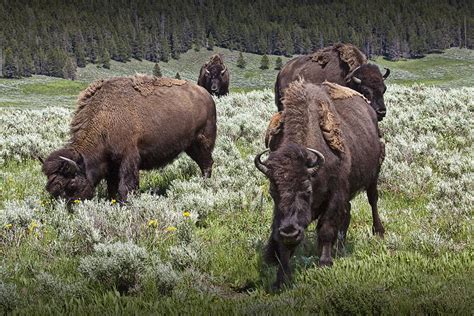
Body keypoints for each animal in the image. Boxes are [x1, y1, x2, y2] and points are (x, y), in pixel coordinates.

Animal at [42, 75, 217, 201]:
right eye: (49, 188)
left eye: (71, 185)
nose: (68, 210)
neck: (103, 118)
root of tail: (207, 95)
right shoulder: (111, 166)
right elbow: (112, 188)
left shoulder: (128, 159)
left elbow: (125, 186)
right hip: (191, 146)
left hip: (202, 142)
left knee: (207, 164)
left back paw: (205, 184)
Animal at [256, 79, 386, 288]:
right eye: (273, 192)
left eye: (307, 191)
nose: (290, 233)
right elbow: (279, 237)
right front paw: (281, 276)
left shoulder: (335, 194)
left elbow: (326, 228)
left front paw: (325, 262)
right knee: (348, 212)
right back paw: (340, 246)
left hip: (373, 176)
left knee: (373, 201)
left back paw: (378, 232)